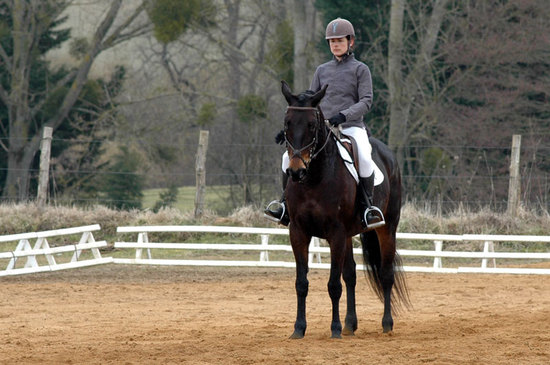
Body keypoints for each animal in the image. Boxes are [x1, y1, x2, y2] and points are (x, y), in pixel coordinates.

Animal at [280, 80, 410, 338]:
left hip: (387, 228)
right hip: (350, 234)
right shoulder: (298, 232)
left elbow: (333, 285)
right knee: (350, 274)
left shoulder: (336, 233)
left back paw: (386, 324)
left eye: (312, 125)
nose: (296, 172)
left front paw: (335, 329)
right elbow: (302, 283)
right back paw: (351, 324)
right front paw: (299, 329)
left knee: (386, 274)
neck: (314, 179)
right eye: (287, 123)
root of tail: (387, 154)